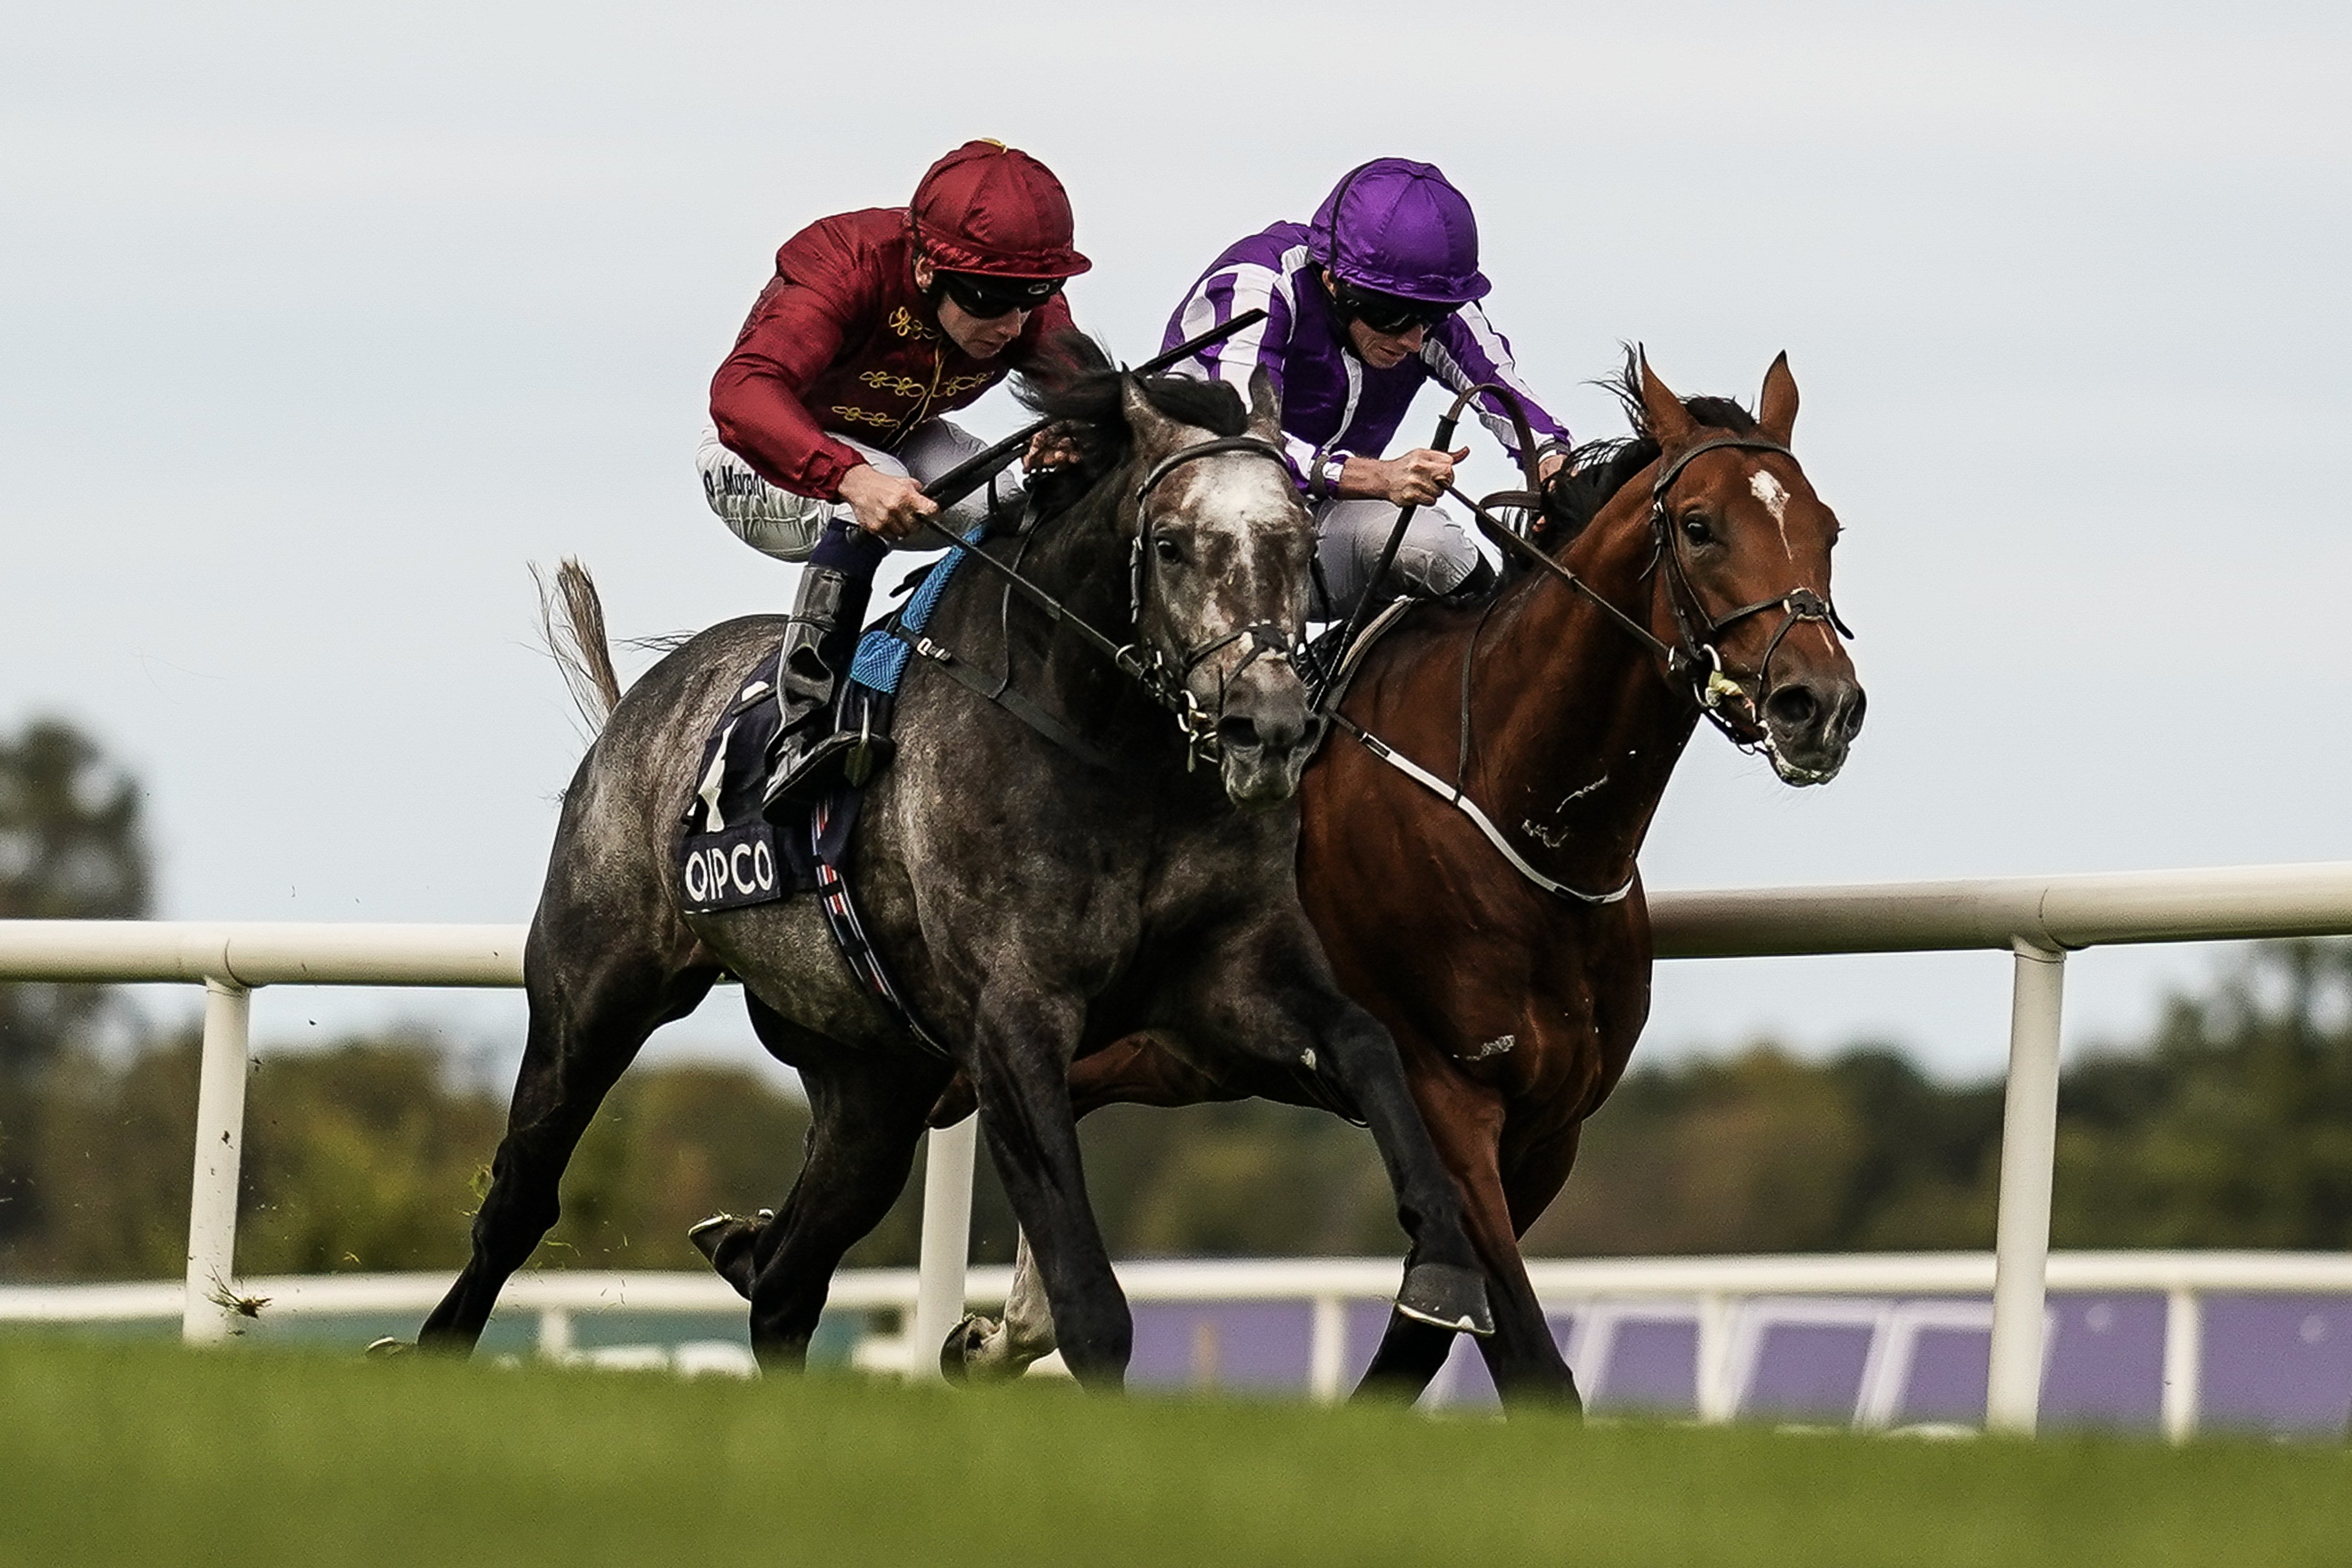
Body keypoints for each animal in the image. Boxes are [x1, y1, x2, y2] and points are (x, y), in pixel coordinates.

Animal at [414, 345, 1486, 1382]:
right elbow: (1091, 1306)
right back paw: (427, 1349)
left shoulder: (1235, 973)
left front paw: (1445, 1267)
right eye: (1172, 544)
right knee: (522, 1197)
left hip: (870, 1082)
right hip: (594, 991)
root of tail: (636, 706)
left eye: (1302, 545)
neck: (1111, 749)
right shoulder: (1014, 1018)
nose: (1267, 730)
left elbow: (1366, 1045)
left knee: (788, 1282)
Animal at [946, 350, 1863, 1401]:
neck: (1523, 819)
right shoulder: (1446, 1101)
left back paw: (1006, 1330)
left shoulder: (1549, 1132)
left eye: (1827, 528)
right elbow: (1528, 1358)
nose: (1819, 705)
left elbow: (1425, 1335)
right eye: (1702, 526)